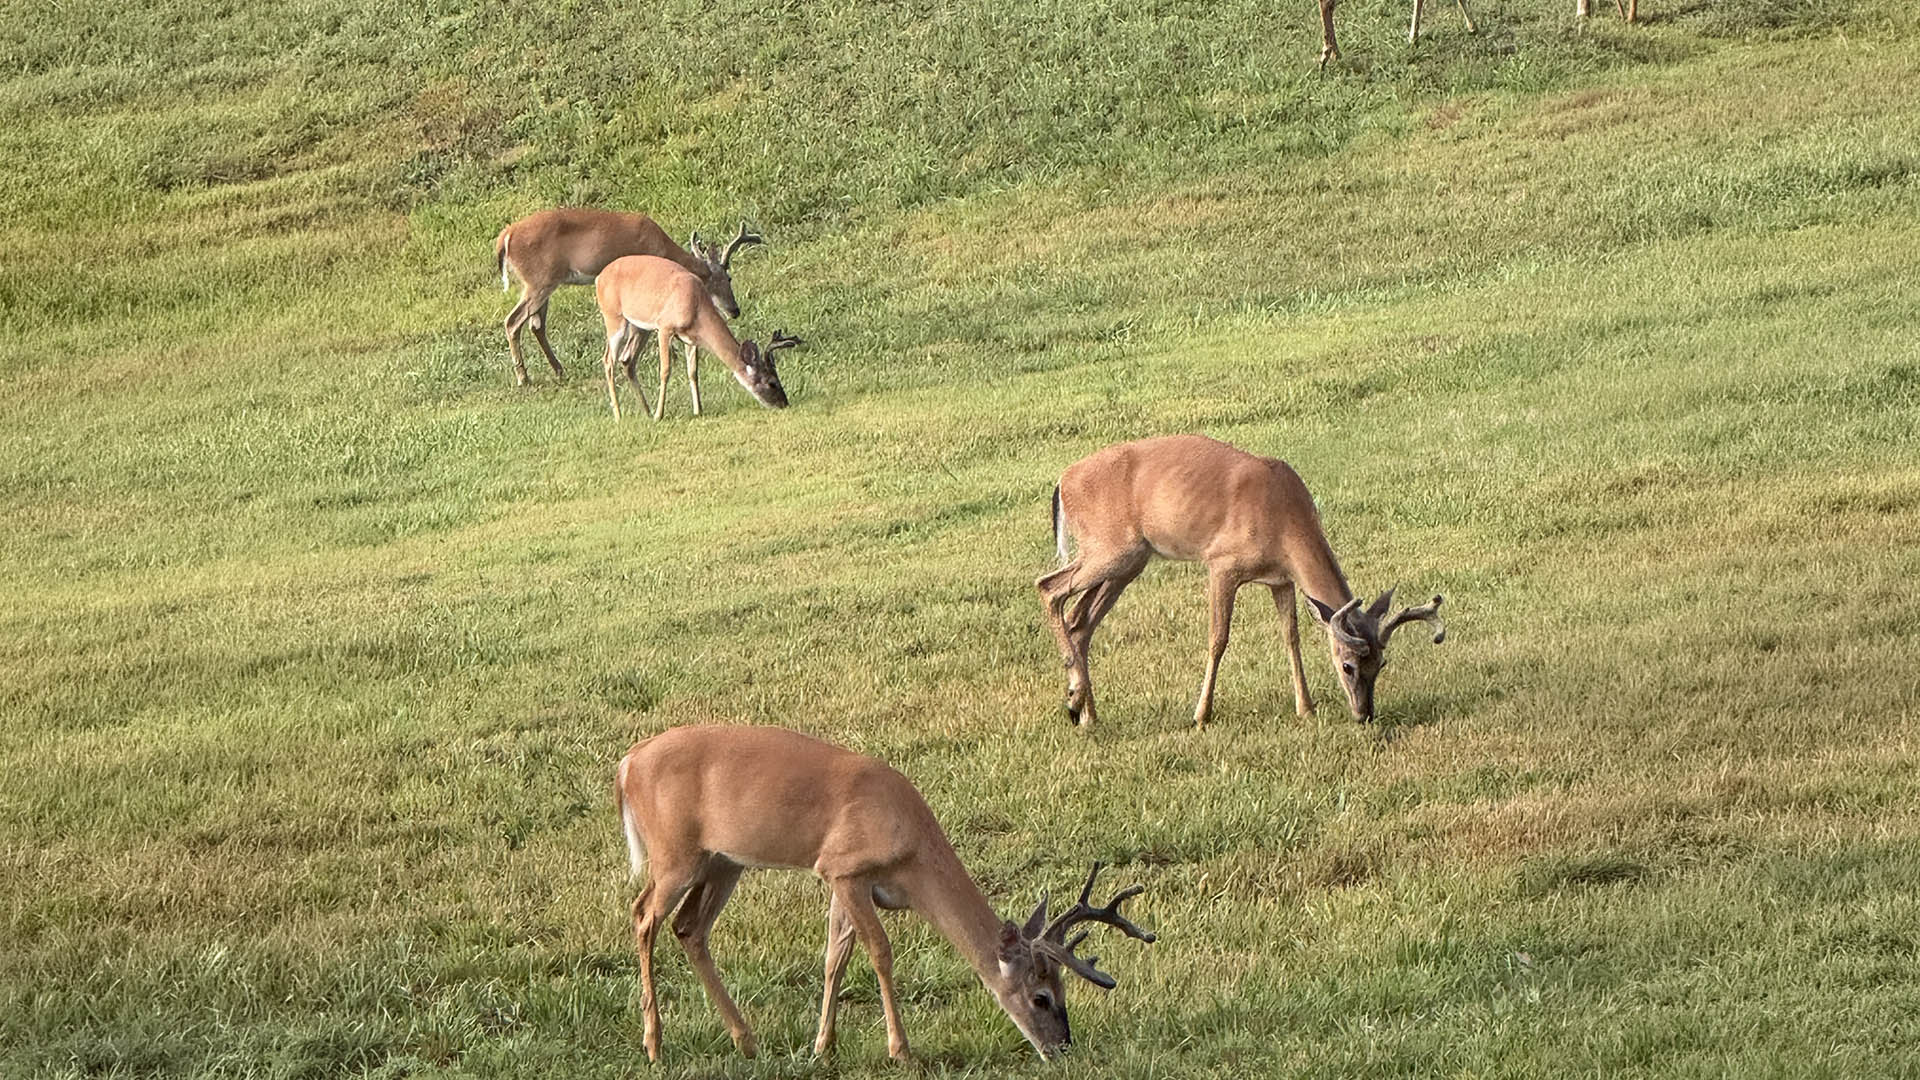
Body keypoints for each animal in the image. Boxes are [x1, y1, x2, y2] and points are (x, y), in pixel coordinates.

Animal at [493, 209, 763, 387]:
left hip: (544, 283)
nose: (735, 310)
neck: (660, 245)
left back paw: (558, 370)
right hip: (539, 281)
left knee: (535, 324)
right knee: (513, 321)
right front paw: (671, 353)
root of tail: (506, 235)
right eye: (728, 278)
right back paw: (523, 378)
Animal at [593, 254, 799, 421]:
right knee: (608, 360)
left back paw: (646, 411)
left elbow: (693, 371)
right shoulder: (665, 327)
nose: (784, 403)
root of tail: (599, 277)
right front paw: (660, 416)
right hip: (614, 317)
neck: (696, 303)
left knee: (627, 360)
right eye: (772, 382)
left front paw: (698, 410)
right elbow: (665, 371)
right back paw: (620, 416)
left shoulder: (690, 338)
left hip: (640, 328)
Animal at [616, 725, 1154, 1063]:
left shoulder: (844, 879)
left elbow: (834, 955)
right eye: (1041, 997)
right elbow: (879, 951)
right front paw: (901, 1050)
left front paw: (823, 1047)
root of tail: (626, 764)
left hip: (723, 861)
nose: (1062, 1048)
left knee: (689, 928)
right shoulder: (844, 867)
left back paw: (745, 1041)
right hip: (675, 855)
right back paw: (654, 1045)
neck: (910, 846)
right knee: (644, 916)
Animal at [1036, 435, 1446, 729]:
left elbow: (1291, 637)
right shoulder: (1222, 564)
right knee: (1048, 587)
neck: (1283, 518)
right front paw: (1201, 715)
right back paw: (1075, 701)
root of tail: (1061, 482)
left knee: (1079, 621)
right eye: (1347, 665)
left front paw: (1306, 709)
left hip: (1127, 563)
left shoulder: (1281, 580)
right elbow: (1218, 639)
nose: (1365, 714)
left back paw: (1086, 714)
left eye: (1381, 663)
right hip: (1108, 549)